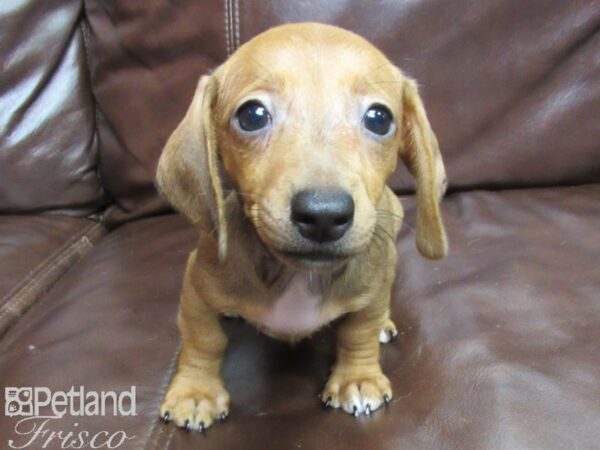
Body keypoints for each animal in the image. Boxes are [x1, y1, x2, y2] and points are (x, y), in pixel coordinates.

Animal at [155, 22, 446, 432]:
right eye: (252, 115)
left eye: (379, 118)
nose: (324, 215)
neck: (295, 275)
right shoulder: (197, 286)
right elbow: (203, 339)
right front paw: (196, 392)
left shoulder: (372, 286)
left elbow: (359, 331)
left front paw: (357, 377)